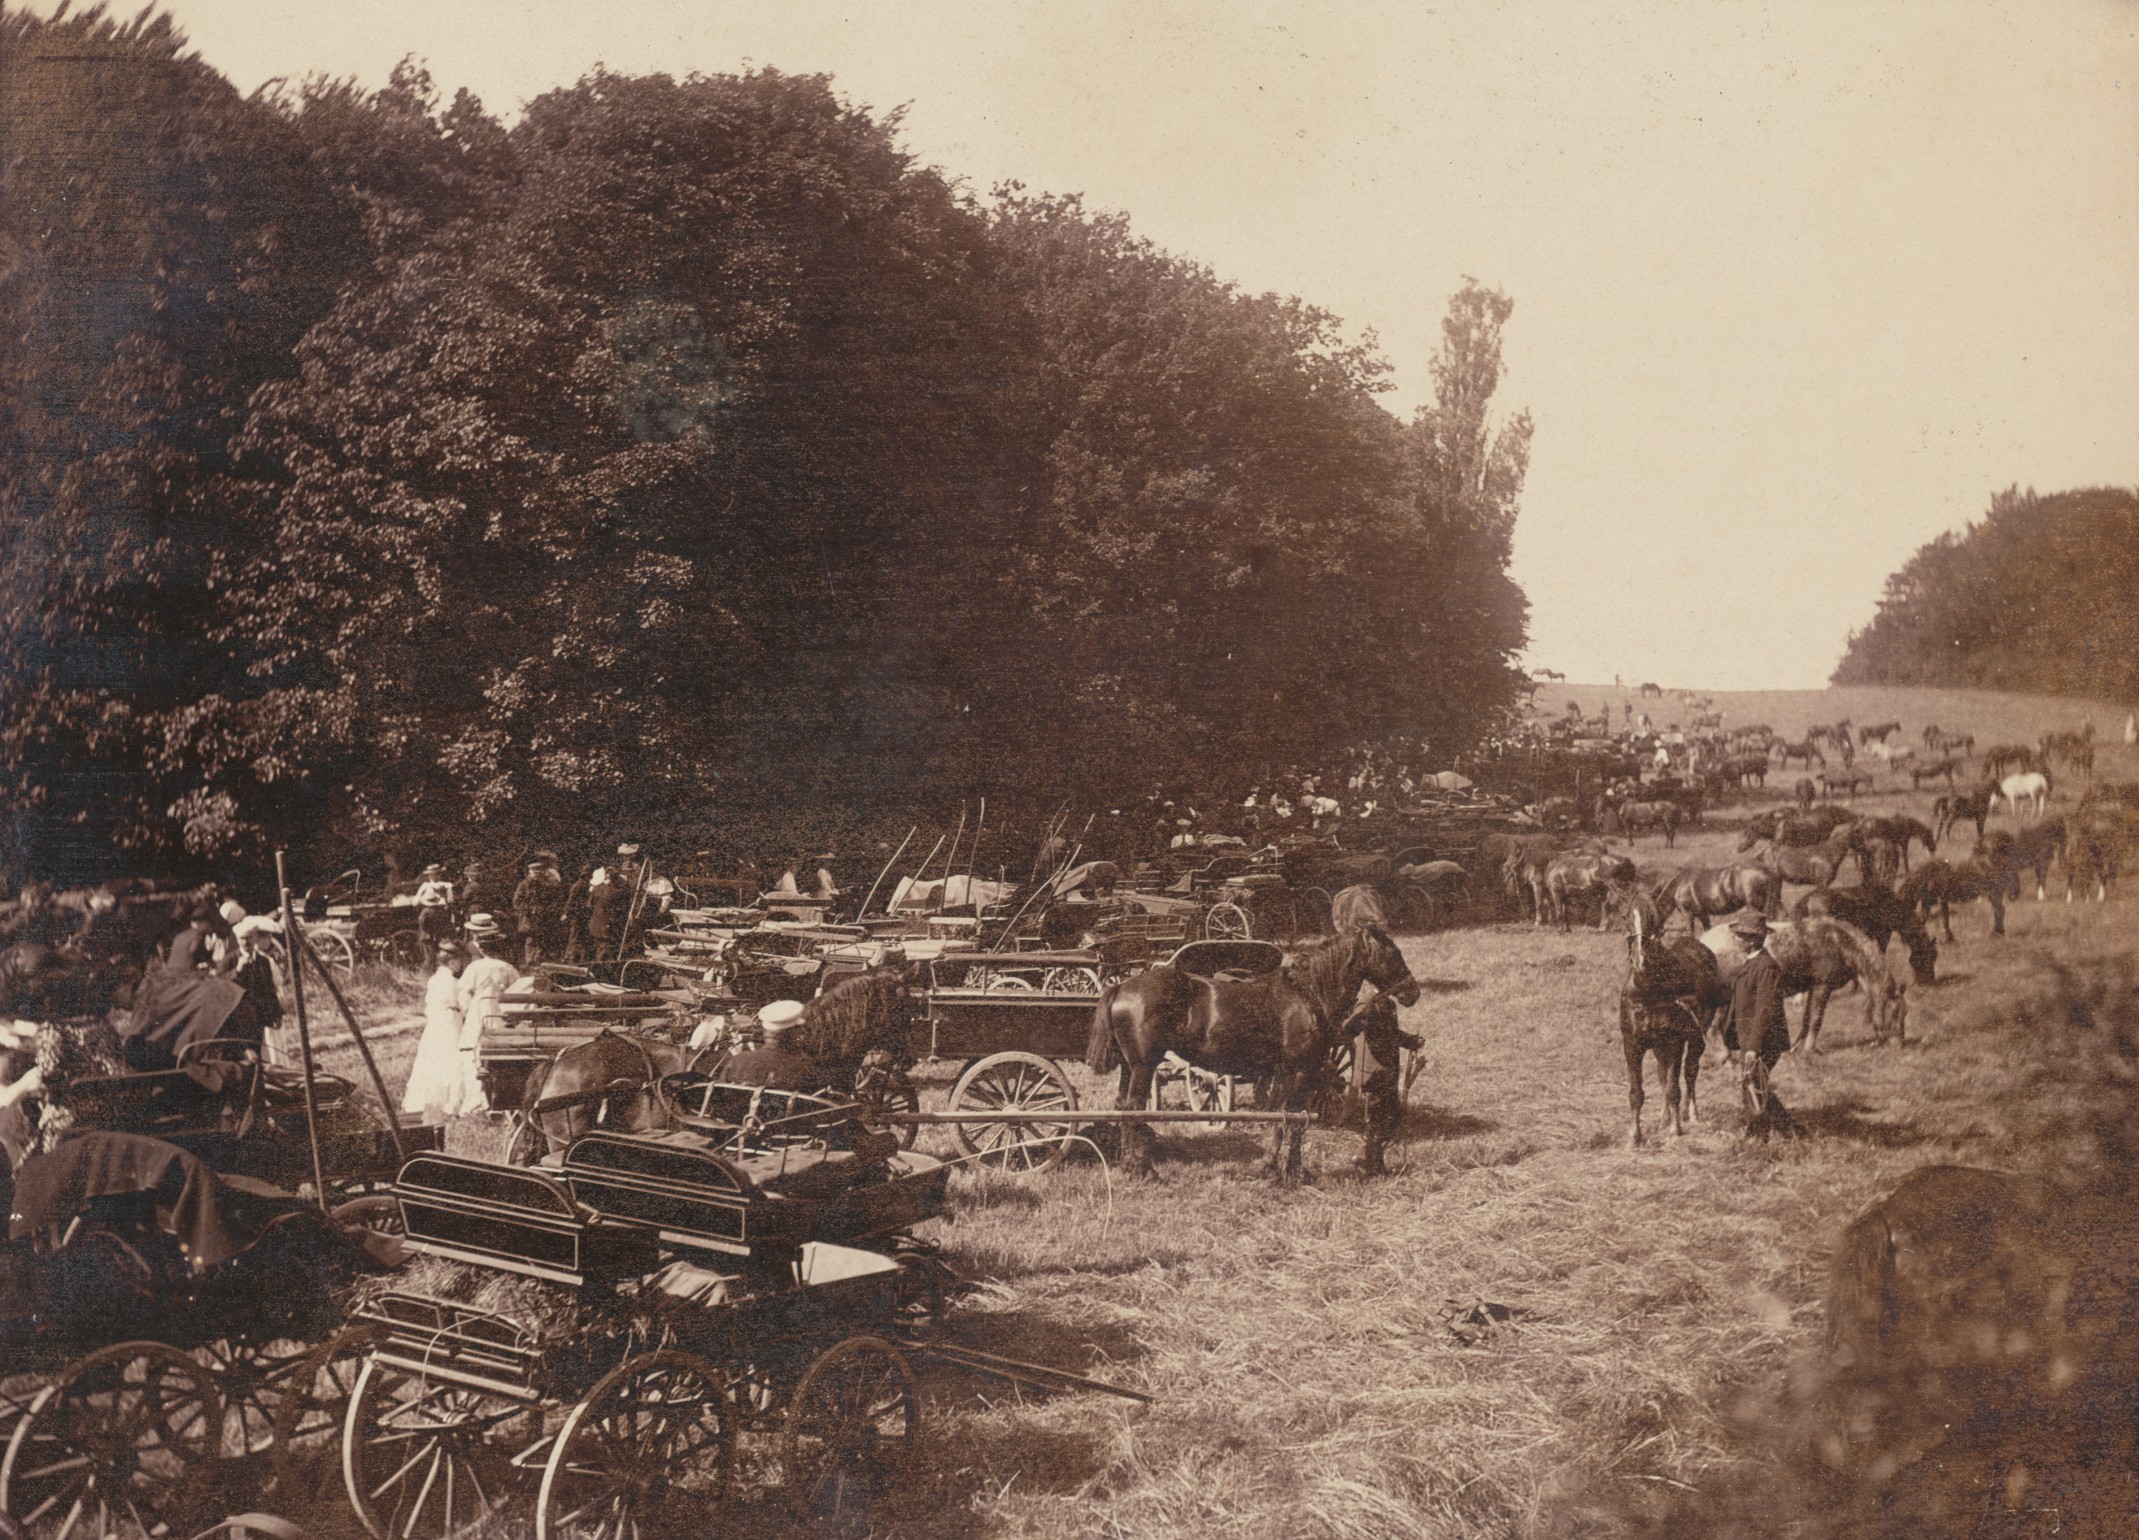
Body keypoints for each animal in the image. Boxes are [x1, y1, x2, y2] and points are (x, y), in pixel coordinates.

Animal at [1086, 928, 1420, 1180]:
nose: (1413, 992)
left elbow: (1288, 1117)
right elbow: (1289, 1119)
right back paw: (1144, 1169)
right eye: (1392, 952)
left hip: (1129, 1067)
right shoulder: (1298, 1072)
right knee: (1134, 1108)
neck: (1307, 996)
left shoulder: (1288, 1074)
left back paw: (1128, 1165)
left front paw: (1289, 1169)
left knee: (1122, 1105)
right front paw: (1276, 1169)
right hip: (1144, 1066)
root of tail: (1121, 987)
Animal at [1617, 906, 1719, 1146]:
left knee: (1691, 1071)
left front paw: (1676, 1129)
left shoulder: (1674, 1043)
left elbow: (1674, 1088)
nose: (1640, 960)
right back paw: (1664, 1117)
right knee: (1663, 1073)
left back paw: (1691, 1114)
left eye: (1652, 917)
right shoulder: (1633, 1045)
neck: (1649, 988)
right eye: (1625, 916)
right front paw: (1635, 1136)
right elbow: (1637, 1092)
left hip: (1697, 1037)